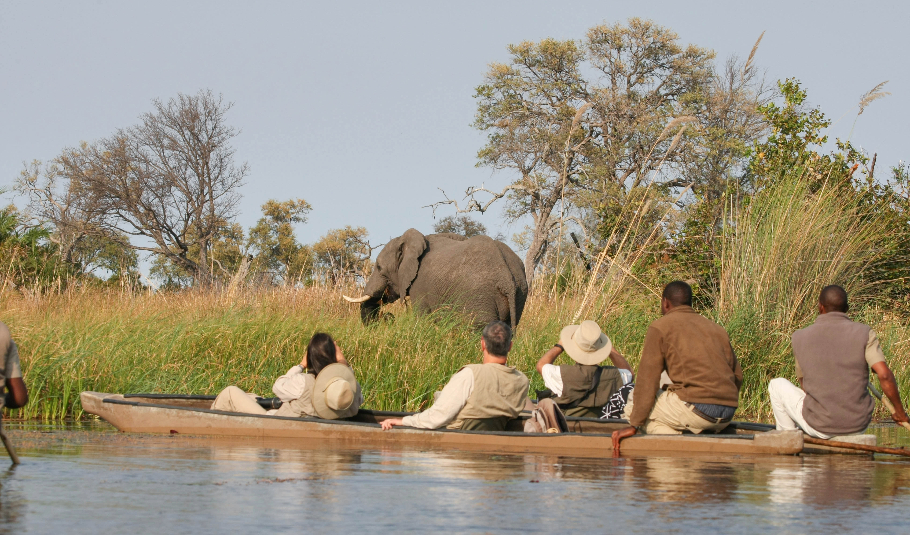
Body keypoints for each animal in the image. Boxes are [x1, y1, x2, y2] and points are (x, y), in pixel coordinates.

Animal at [342, 228, 528, 328]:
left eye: (379, 268)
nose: (388, 317)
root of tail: (507, 278)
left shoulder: (420, 285)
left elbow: (421, 316)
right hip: (520, 293)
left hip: (479, 296)